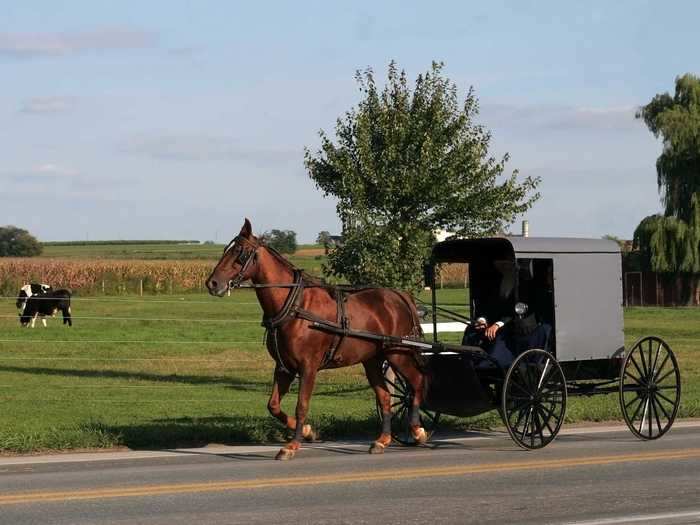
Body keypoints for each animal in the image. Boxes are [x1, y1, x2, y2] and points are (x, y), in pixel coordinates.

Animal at [205, 218, 430, 458]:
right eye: (227, 249)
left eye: (240, 252)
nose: (212, 283)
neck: (295, 306)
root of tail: (400, 296)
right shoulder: (284, 367)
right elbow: (273, 405)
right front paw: (306, 431)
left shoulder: (308, 366)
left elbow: (301, 405)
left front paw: (292, 445)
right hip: (372, 360)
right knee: (385, 397)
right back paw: (382, 440)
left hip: (398, 353)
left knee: (417, 382)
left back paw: (417, 430)